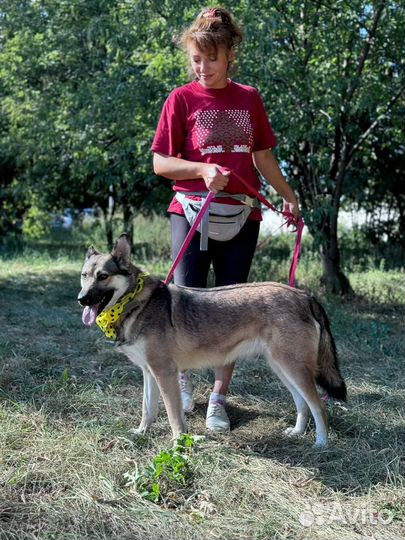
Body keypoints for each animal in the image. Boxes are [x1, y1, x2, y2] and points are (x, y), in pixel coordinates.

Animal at [77, 234, 346, 446]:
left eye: (103, 276)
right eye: (84, 275)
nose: (81, 299)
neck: (137, 304)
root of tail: (303, 295)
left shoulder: (164, 373)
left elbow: (174, 417)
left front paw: (179, 444)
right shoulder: (149, 372)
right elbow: (148, 409)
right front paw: (142, 433)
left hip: (294, 369)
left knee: (319, 406)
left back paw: (321, 443)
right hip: (283, 369)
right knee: (302, 404)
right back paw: (298, 433)